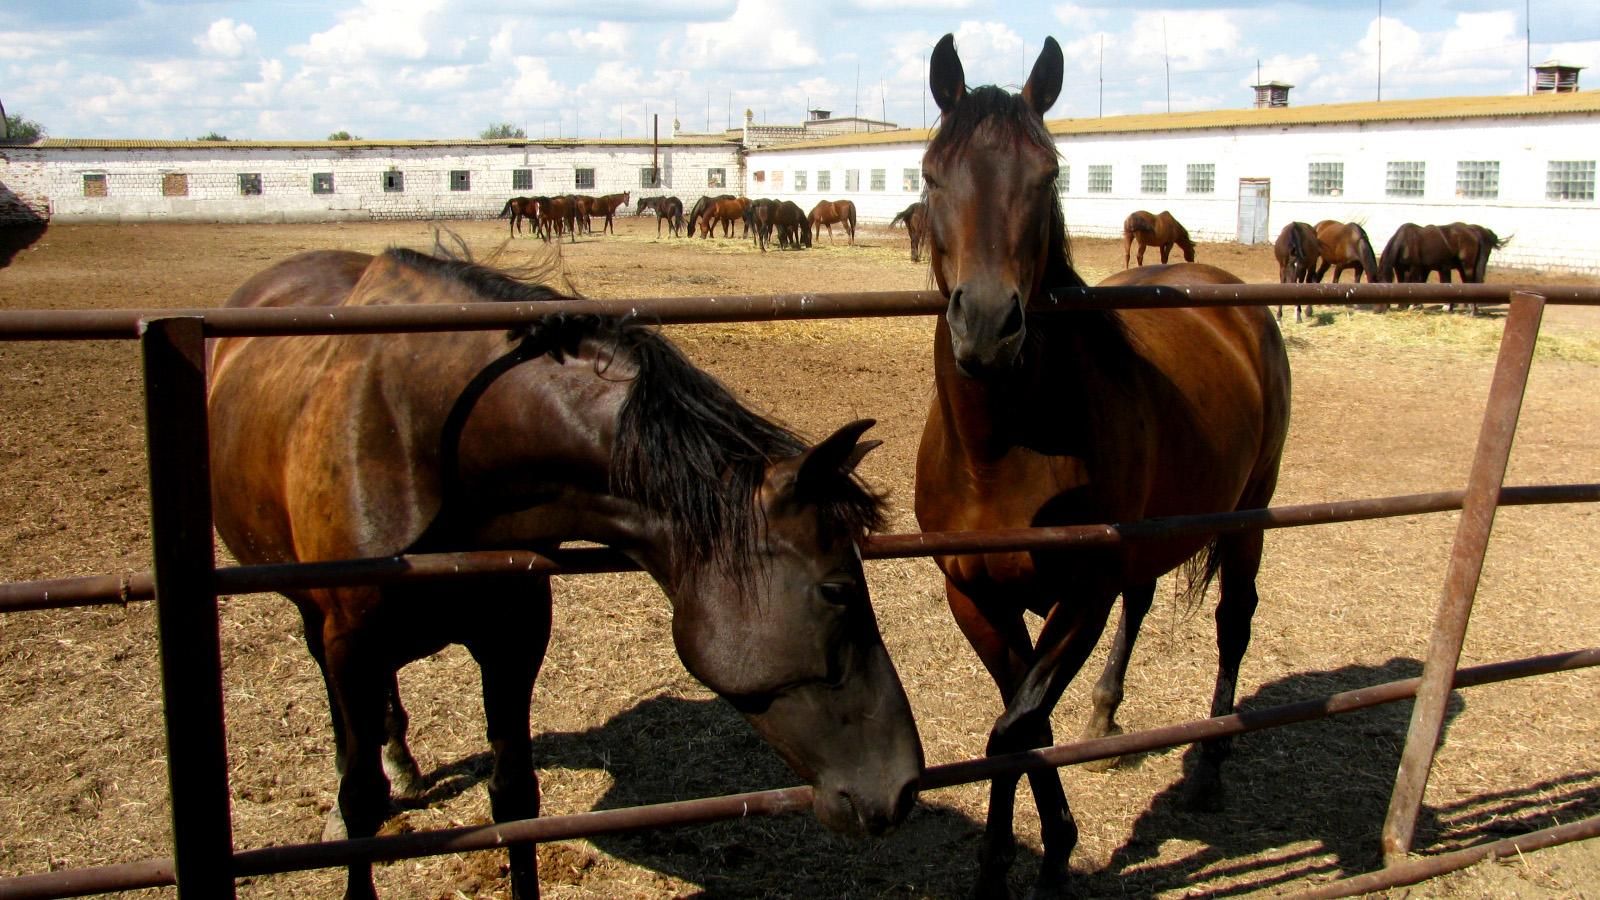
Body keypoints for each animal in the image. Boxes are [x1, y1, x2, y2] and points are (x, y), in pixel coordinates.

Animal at [206, 245, 928, 896]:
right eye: (837, 589)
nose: (904, 785)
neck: (430, 443)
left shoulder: (515, 637)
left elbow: (515, 800)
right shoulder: (353, 645)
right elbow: (361, 806)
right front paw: (351, 804)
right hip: (318, 621)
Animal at [915, 29, 1286, 896]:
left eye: (1049, 172)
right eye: (931, 173)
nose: (989, 326)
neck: (1001, 456)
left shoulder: (1080, 595)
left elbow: (1015, 728)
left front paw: (1046, 856)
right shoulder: (973, 596)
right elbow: (1024, 721)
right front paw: (1022, 857)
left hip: (1249, 513)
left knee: (1234, 621)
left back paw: (1210, 769)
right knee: (1142, 603)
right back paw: (1108, 712)